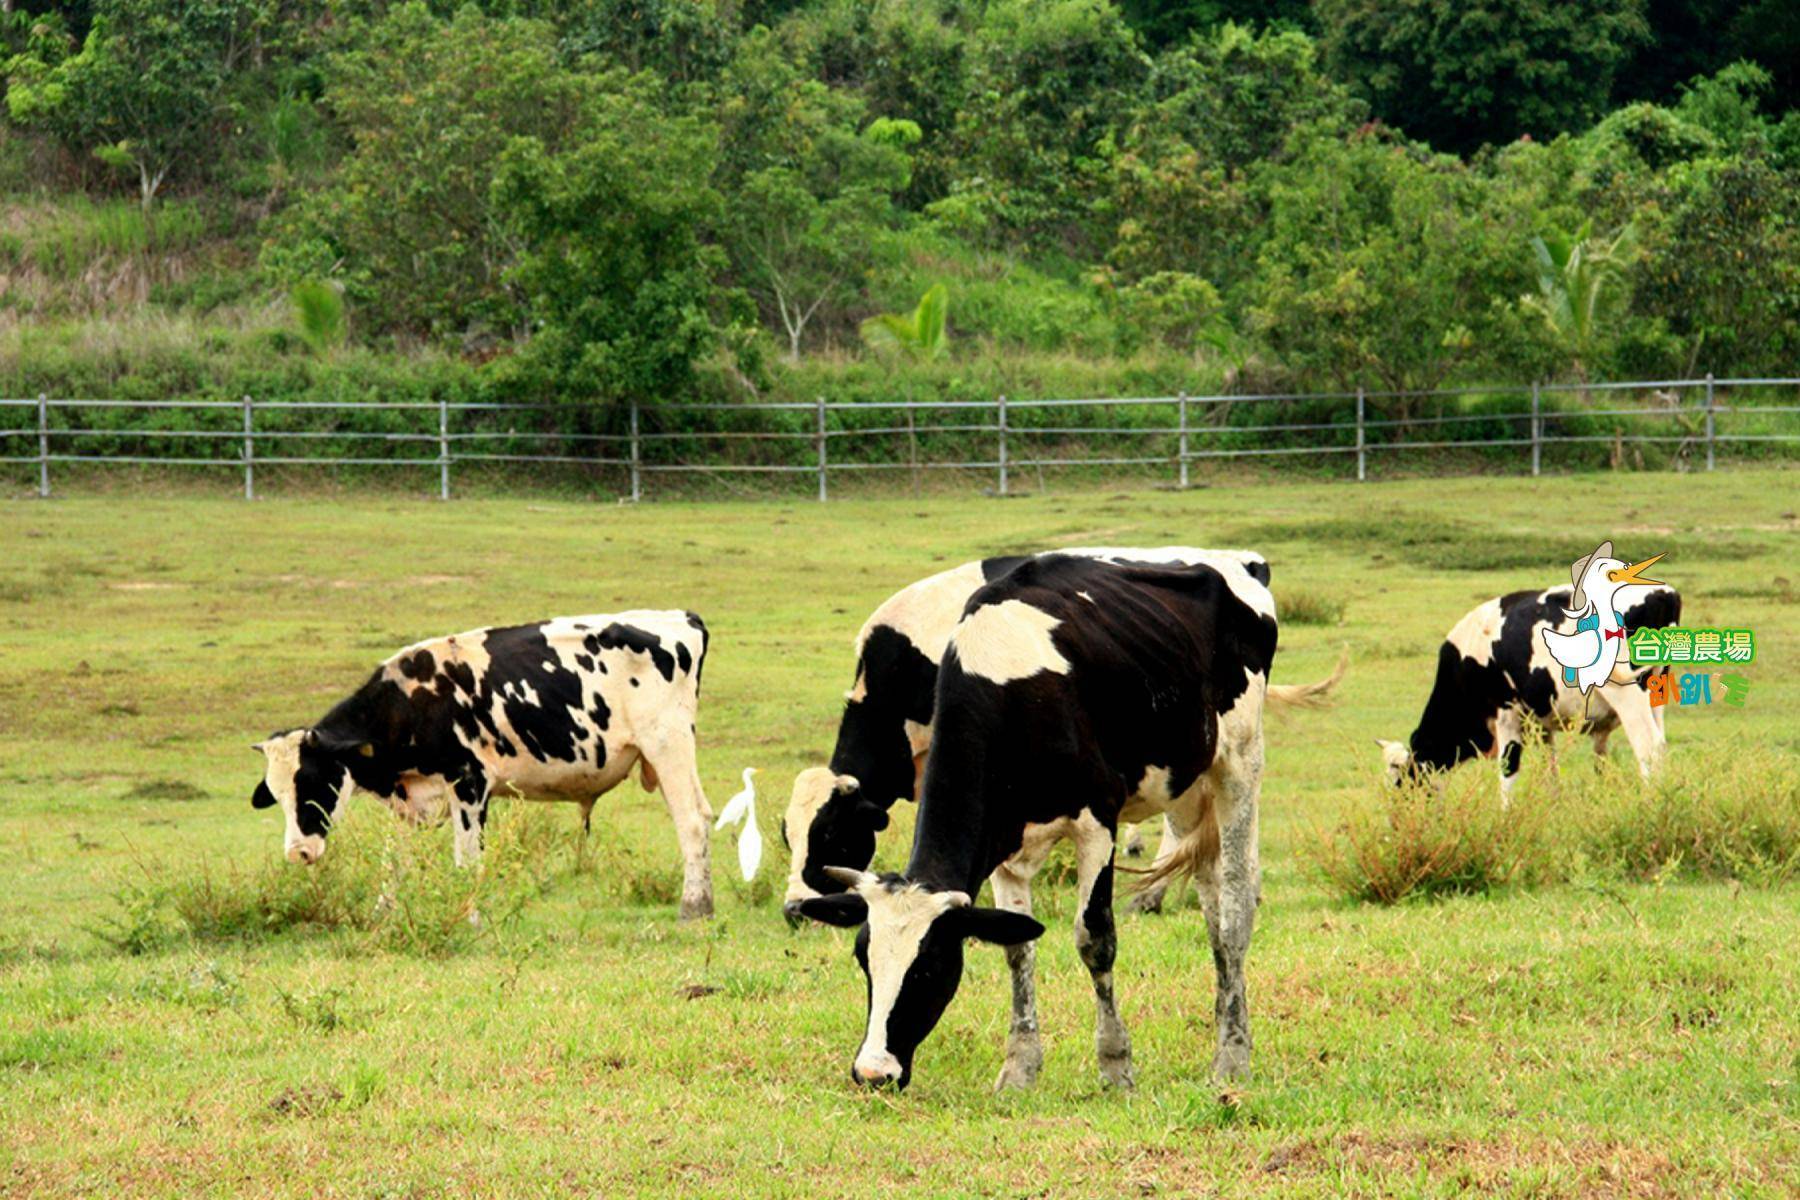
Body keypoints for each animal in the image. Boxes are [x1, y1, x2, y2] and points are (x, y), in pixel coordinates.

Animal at [253, 611, 716, 921]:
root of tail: (679, 618)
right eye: (276, 793)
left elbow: (467, 861)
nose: (298, 852)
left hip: (667, 745)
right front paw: (382, 914)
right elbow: (393, 863)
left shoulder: (469, 784)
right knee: (704, 815)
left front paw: (469, 916)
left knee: (691, 821)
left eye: (314, 780)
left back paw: (693, 906)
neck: (412, 703)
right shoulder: (408, 799)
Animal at [1375, 582, 1684, 798]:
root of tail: (1663, 592)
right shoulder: (1542, 723)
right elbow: (1551, 769)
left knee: (1648, 748)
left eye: (1402, 785)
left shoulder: (1506, 713)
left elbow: (1508, 771)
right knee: (1661, 745)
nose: (1397, 825)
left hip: (1626, 694)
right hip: (1655, 698)